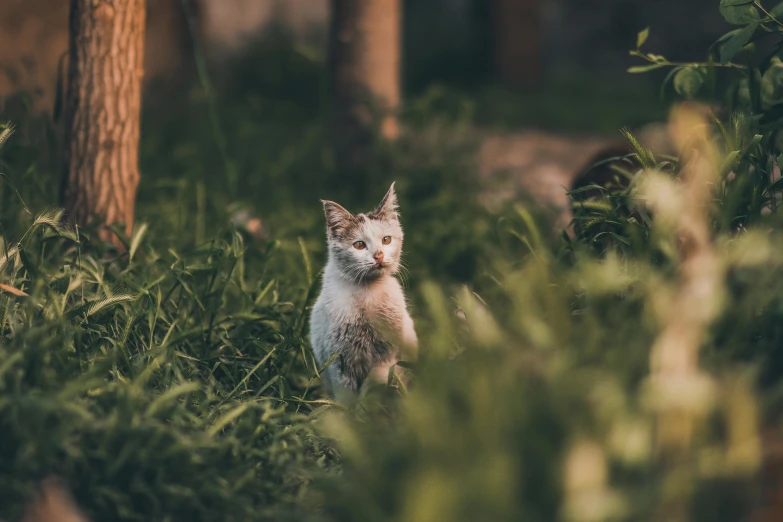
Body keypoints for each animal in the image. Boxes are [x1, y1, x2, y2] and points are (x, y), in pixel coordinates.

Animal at [310, 181, 420, 400]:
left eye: (386, 240)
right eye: (359, 244)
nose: (379, 255)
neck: (366, 292)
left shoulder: (386, 358)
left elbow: (372, 387)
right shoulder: (339, 360)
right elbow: (346, 395)